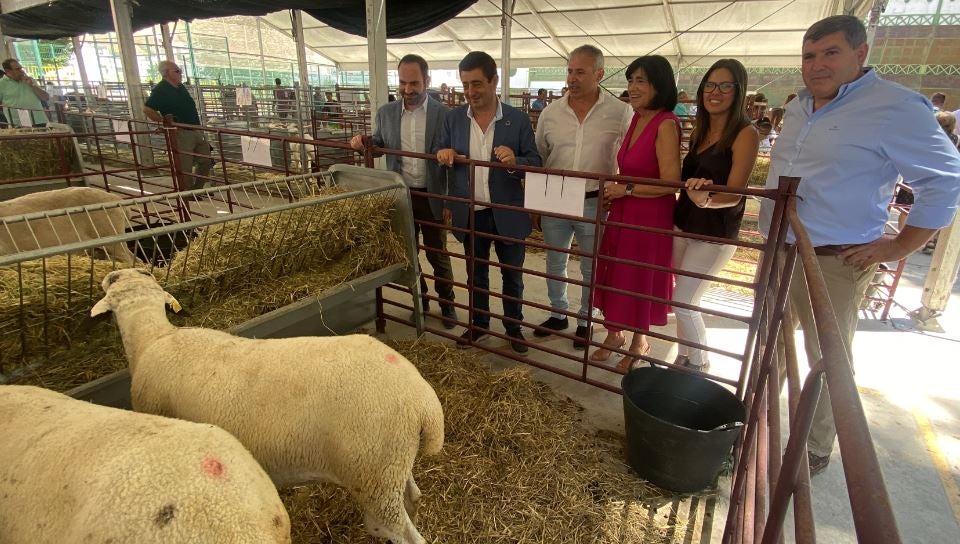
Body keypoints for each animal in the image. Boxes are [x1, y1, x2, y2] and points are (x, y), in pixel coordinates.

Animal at [92, 268, 444, 544]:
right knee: (412, 498)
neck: (153, 339)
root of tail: (424, 402)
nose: (111, 274)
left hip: (371, 469)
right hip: (391, 462)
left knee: (401, 531)